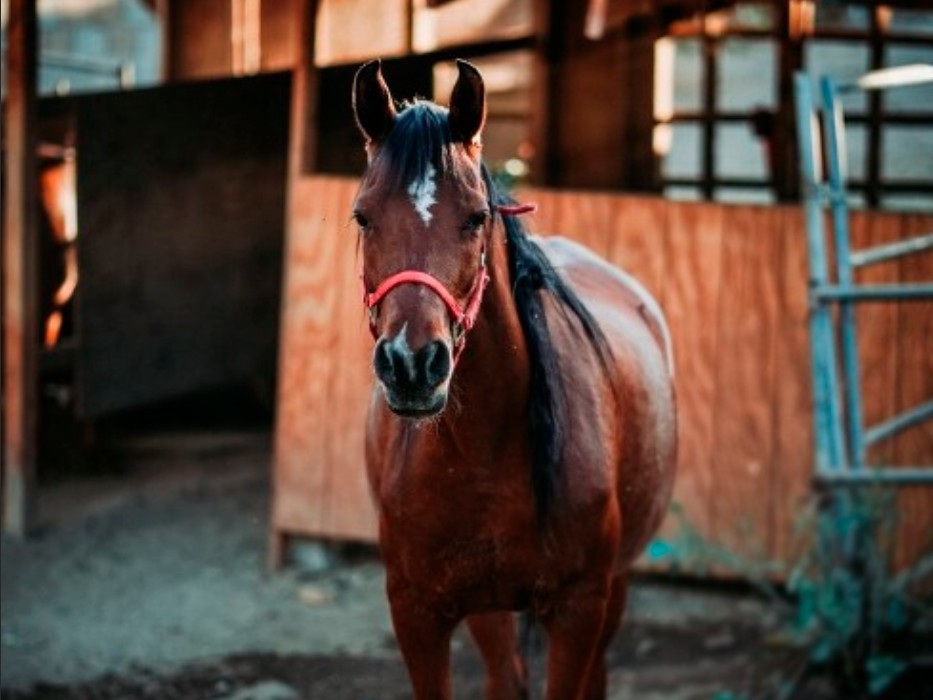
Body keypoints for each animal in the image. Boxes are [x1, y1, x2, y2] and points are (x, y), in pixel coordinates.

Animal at [354, 60, 672, 700]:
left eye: (476, 217)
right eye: (363, 216)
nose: (411, 363)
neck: (481, 453)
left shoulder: (579, 610)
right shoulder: (416, 613)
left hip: (614, 589)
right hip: (490, 609)